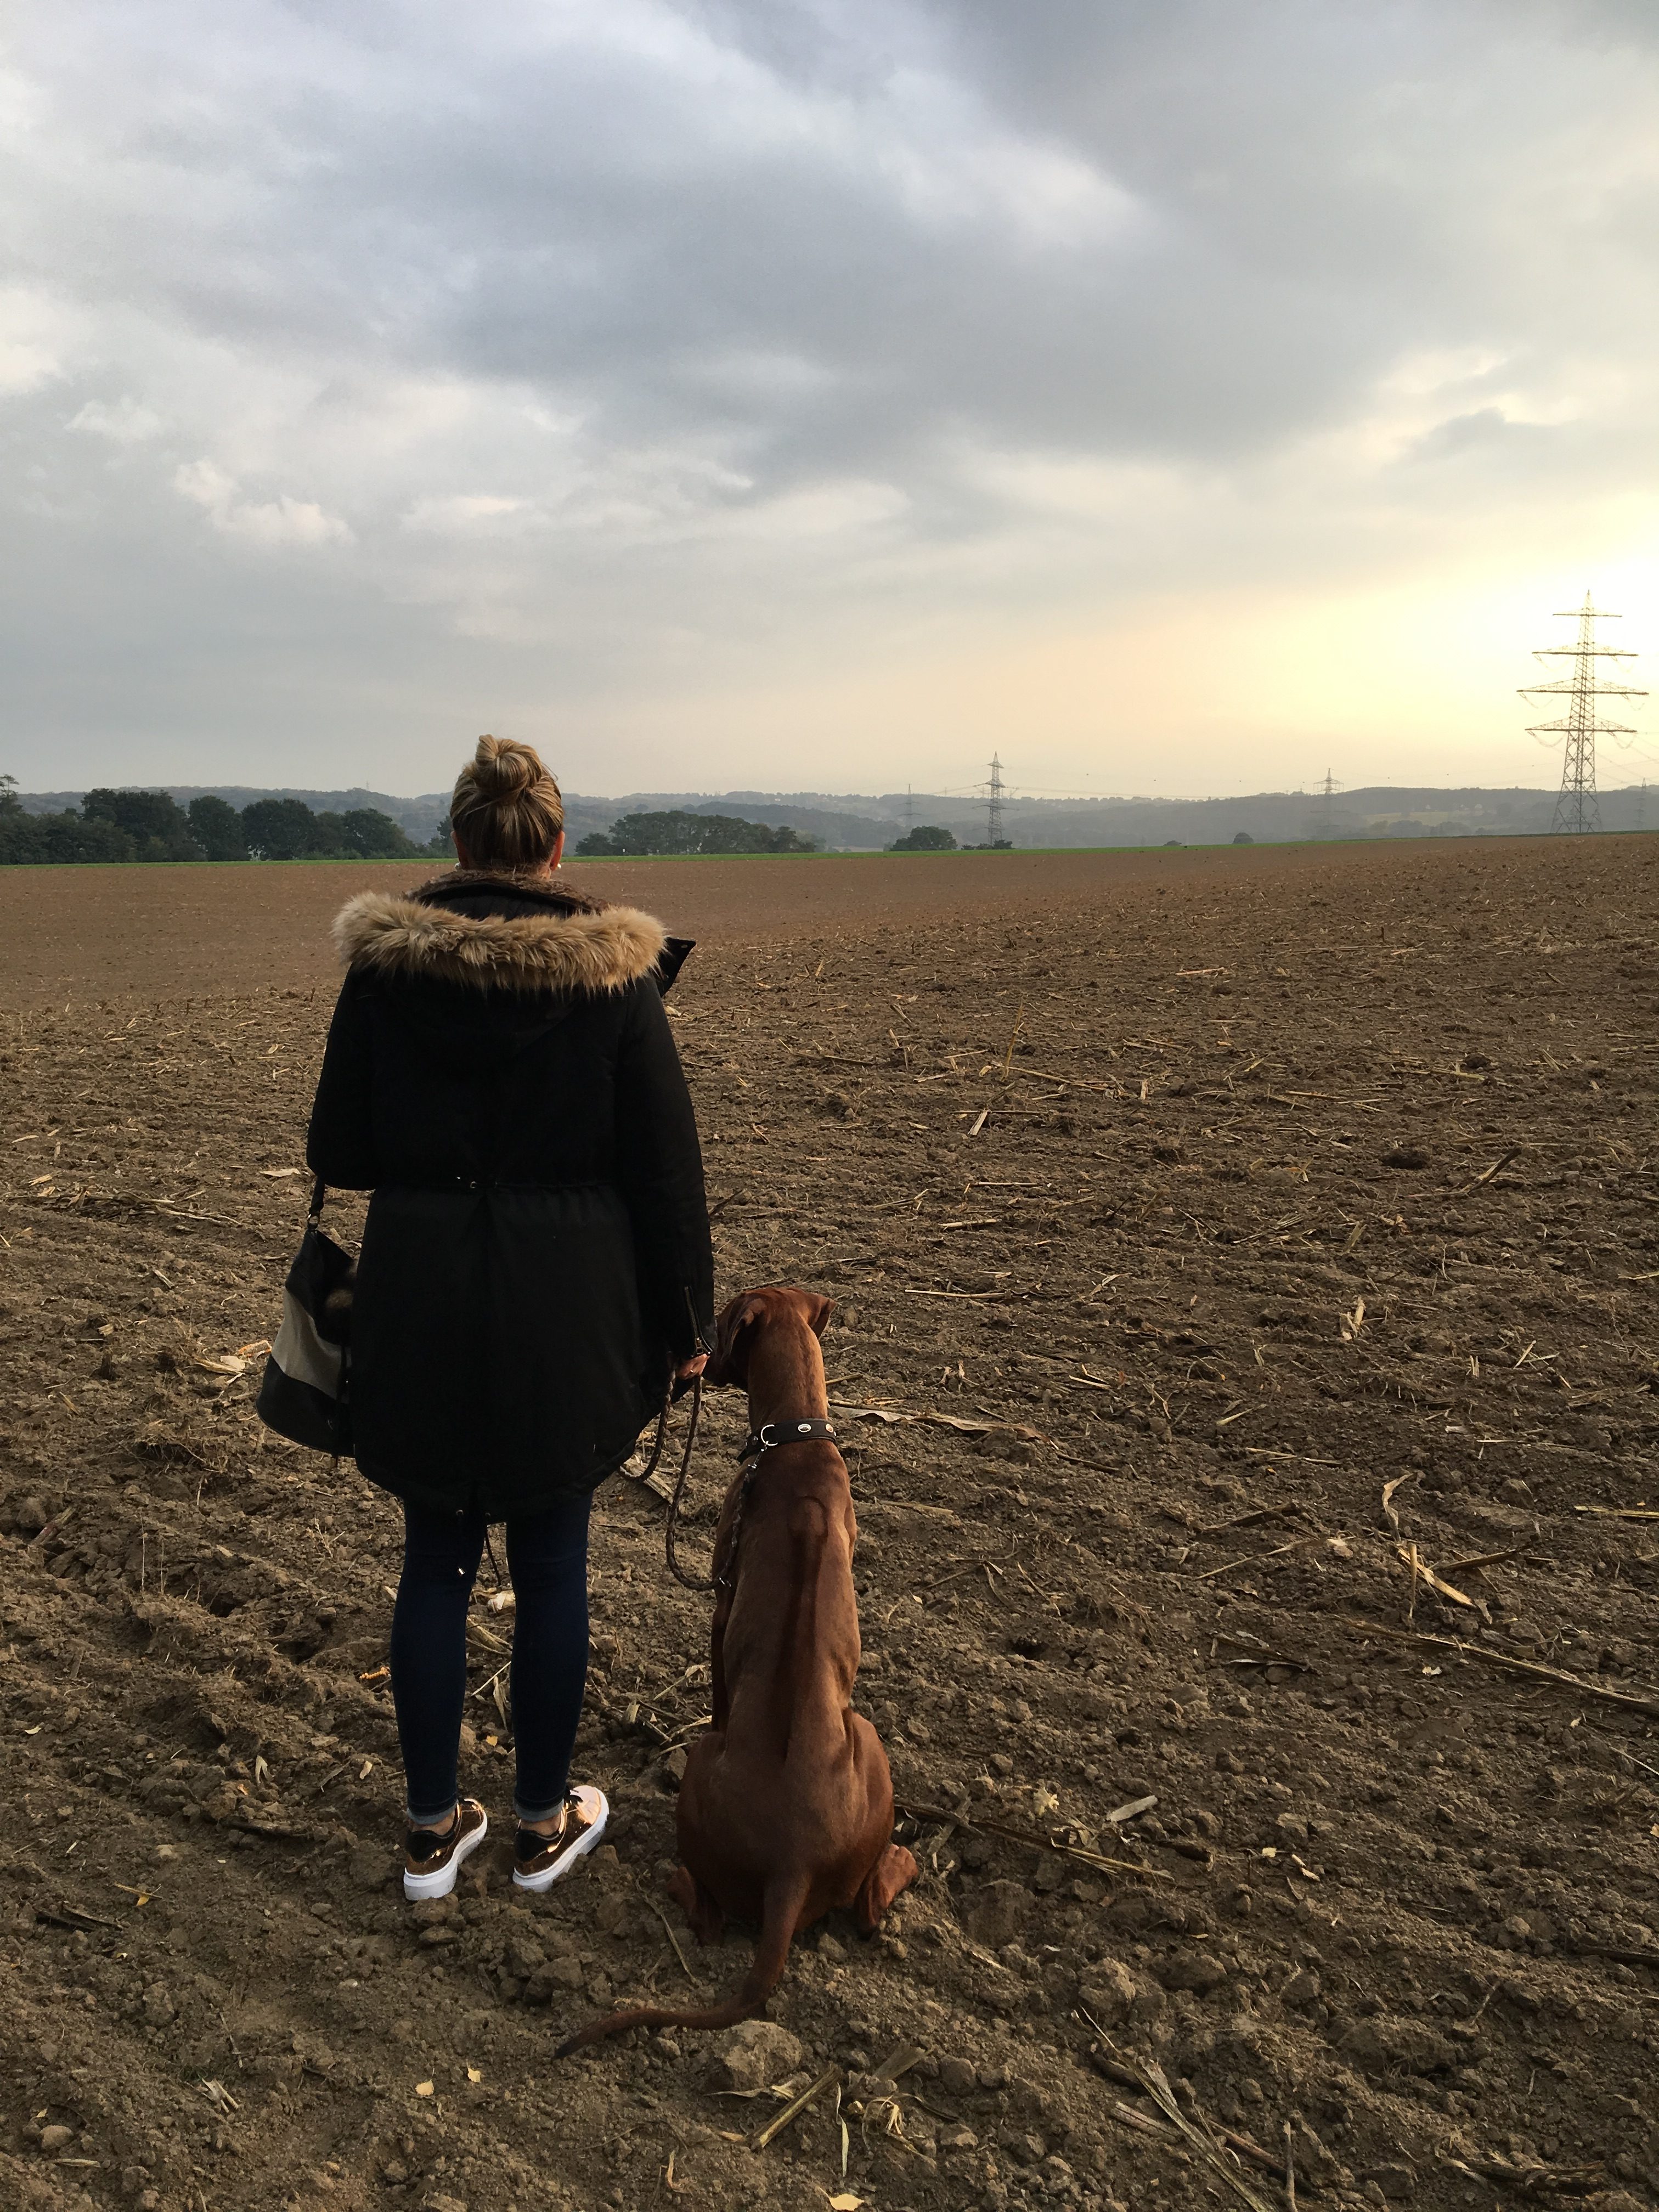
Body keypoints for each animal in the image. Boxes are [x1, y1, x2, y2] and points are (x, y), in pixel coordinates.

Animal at [562, 1291, 924, 2044]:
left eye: (724, 1320)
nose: (696, 1352)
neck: (795, 1437)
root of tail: (791, 1869)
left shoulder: (722, 1606)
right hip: (867, 1738)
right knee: (867, 1909)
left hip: (713, 1755)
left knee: (709, 1916)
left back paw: (676, 1880)